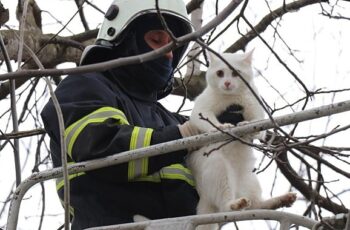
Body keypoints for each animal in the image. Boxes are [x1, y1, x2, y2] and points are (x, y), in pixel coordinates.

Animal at [186, 50, 296, 230]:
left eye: (235, 73)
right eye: (220, 73)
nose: (227, 83)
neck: (232, 99)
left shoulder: (256, 108)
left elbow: (258, 125)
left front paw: (246, 124)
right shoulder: (201, 109)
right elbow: (205, 120)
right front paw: (222, 126)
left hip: (251, 180)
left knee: (256, 206)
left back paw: (280, 200)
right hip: (218, 168)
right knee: (225, 206)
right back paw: (235, 204)